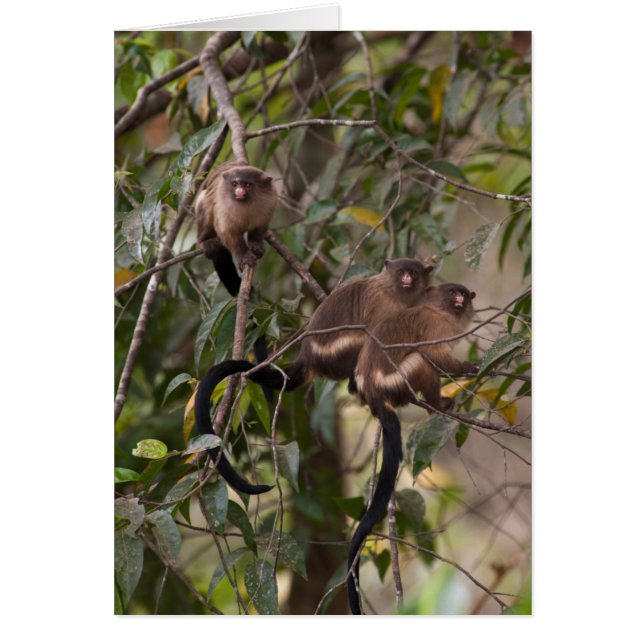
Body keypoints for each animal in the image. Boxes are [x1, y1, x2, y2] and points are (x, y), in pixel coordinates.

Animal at [194, 259, 434, 496]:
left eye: (413, 272)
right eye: (402, 272)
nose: (407, 278)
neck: (394, 293)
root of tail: (309, 357)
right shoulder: (382, 306)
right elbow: (377, 335)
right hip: (341, 351)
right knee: (362, 340)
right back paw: (357, 385)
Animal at [347, 283, 477, 614]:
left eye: (462, 294)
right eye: (452, 293)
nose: (460, 299)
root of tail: (374, 391)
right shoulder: (435, 327)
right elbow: (435, 355)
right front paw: (469, 367)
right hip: (398, 380)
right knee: (420, 359)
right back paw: (435, 405)